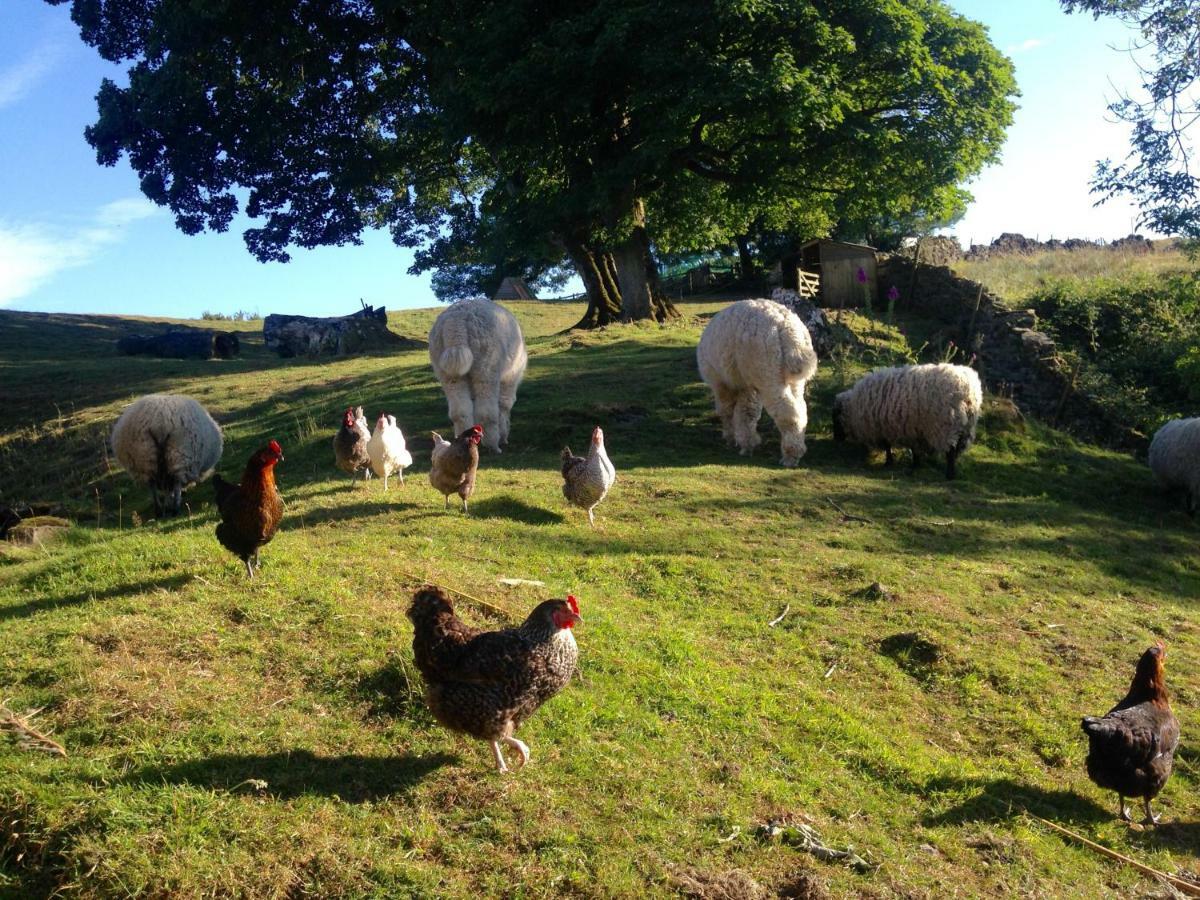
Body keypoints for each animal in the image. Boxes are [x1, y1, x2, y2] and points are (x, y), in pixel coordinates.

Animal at [429, 297, 528, 453]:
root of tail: (457, 320)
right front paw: (503, 436)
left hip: (445, 369)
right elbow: (504, 406)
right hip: (487, 366)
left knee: (460, 410)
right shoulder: (510, 378)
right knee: (486, 411)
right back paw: (494, 446)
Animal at [696, 300, 816, 468]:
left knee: (788, 412)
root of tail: (789, 330)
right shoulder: (747, 384)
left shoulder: (721, 382)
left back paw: (790, 456)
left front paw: (731, 438)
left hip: (767, 372)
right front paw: (747, 444)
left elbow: (726, 410)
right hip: (791, 378)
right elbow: (747, 412)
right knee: (800, 409)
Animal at [835, 364, 984, 482]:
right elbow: (914, 449)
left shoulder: (883, 428)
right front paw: (915, 465)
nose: (837, 439)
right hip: (965, 427)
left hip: (947, 427)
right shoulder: (913, 429)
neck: (855, 407)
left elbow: (888, 446)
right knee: (957, 450)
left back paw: (950, 475)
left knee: (951, 451)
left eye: (835, 416)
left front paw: (889, 462)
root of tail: (968, 390)